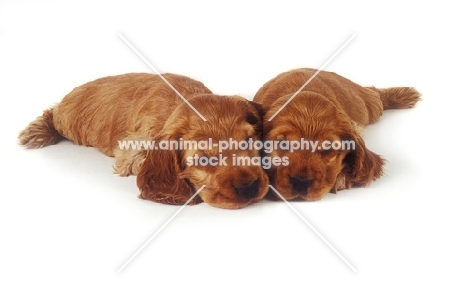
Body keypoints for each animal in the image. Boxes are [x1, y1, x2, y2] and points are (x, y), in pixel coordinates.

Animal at [19, 72, 266, 208]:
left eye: (248, 142)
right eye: (203, 160)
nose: (249, 188)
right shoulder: (132, 149)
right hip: (70, 119)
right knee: (52, 113)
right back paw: (35, 132)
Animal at [254, 68, 422, 201]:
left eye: (328, 149)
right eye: (282, 144)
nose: (301, 182)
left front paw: (341, 179)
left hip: (367, 105)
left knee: (375, 94)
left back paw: (407, 95)